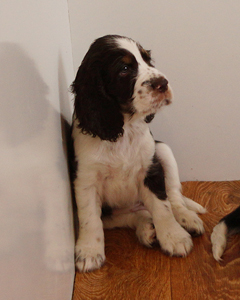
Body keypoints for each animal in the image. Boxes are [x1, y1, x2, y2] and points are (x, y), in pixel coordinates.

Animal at [70, 35, 205, 272]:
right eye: (124, 69)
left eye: (148, 60)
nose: (163, 83)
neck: (123, 128)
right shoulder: (85, 181)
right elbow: (90, 219)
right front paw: (88, 252)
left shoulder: (150, 168)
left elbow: (163, 207)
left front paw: (174, 237)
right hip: (112, 213)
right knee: (135, 215)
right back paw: (146, 229)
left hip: (163, 151)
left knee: (174, 196)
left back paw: (186, 218)